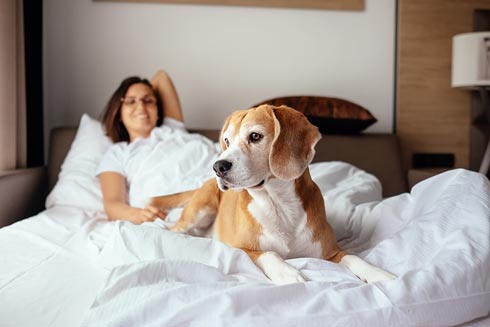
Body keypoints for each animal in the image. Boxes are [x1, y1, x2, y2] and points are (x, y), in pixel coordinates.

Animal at [151, 105, 396, 284]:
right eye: (227, 141)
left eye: (255, 136)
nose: (218, 166)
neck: (278, 204)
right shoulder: (243, 249)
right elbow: (270, 254)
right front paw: (287, 273)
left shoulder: (331, 252)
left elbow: (354, 257)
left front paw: (378, 273)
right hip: (200, 210)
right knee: (172, 229)